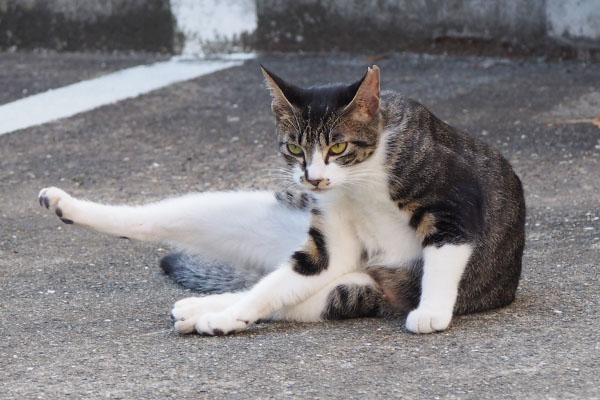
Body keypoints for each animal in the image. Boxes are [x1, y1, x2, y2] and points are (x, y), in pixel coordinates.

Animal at [38, 65, 524, 334]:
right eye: (293, 147)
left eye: (338, 146)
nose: (313, 178)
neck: (360, 179)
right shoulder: (329, 245)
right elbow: (280, 282)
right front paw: (228, 314)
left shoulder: (456, 199)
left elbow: (444, 254)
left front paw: (432, 312)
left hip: (363, 287)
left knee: (301, 298)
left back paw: (203, 312)